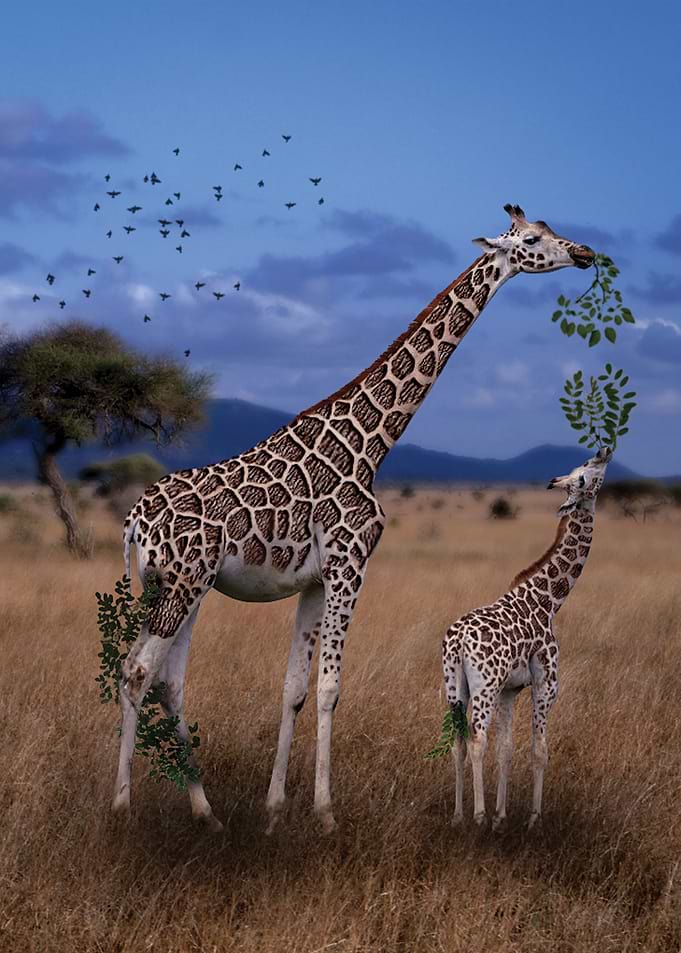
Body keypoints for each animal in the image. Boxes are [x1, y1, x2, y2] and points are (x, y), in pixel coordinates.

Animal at [111, 204, 595, 834]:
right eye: (534, 239)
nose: (585, 253)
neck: (372, 442)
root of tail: (133, 521)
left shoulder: (315, 580)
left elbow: (294, 687)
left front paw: (274, 809)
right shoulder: (350, 564)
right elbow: (329, 687)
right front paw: (325, 813)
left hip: (176, 585)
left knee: (165, 679)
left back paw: (205, 810)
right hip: (183, 583)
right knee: (138, 671)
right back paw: (121, 808)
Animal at [441, 447, 612, 830]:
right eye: (583, 475)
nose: (604, 451)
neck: (548, 602)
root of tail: (458, 642)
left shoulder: (510, 689)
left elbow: (506, 749)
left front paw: (502, 816)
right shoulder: (546, 683)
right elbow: (539, 750)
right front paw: (532, 817)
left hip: (453, 687)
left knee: (458, 742)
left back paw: (458, 815)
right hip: (483, 685)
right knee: (476, 739)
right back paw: (476, 816)